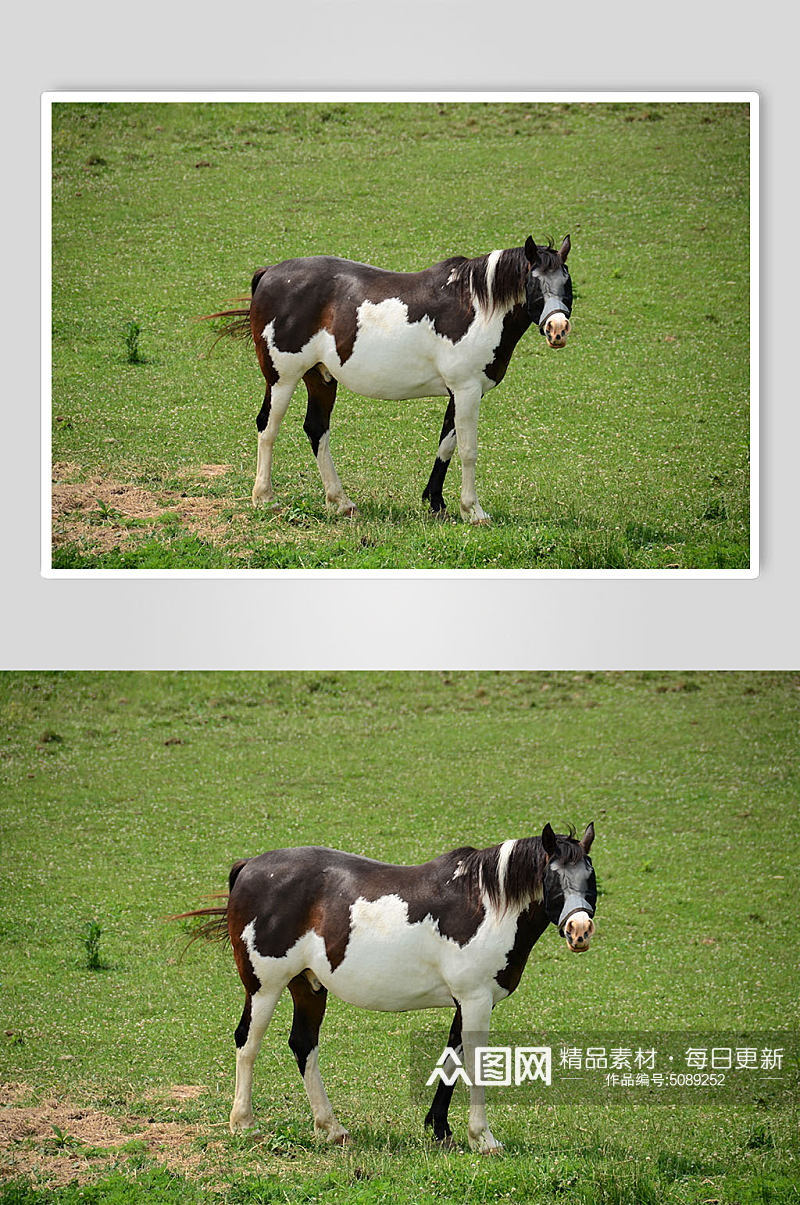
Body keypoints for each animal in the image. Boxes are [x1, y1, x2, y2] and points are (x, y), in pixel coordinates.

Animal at [179, 824, 592, 1151]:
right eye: (553, 877)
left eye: (591, 878)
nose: (580, 930)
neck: (487, 903)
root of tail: (249, 866)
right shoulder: (476, 1000)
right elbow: (475, 1062)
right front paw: (482, 1138)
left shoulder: (467, 1001)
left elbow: (451, 1058)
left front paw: (440, 1128)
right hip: (264, 987)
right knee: (247, 1043)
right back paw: (244, 1123)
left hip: (308, 985)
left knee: (303, 1045)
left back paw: (331, 1127)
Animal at [203, 236, 571, 522]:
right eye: (534, 282)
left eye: (567, 283)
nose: (558, 329)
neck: (476, 306)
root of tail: (268, 274)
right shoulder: (467, 390)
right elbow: (468, 450)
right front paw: (473, 510)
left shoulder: (459, 392)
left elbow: (446, 445)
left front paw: (436, 503)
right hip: (282, 378)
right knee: (268, 427)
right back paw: (264, 497)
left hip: (320, 378)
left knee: (316, 429)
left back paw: (340, 502)